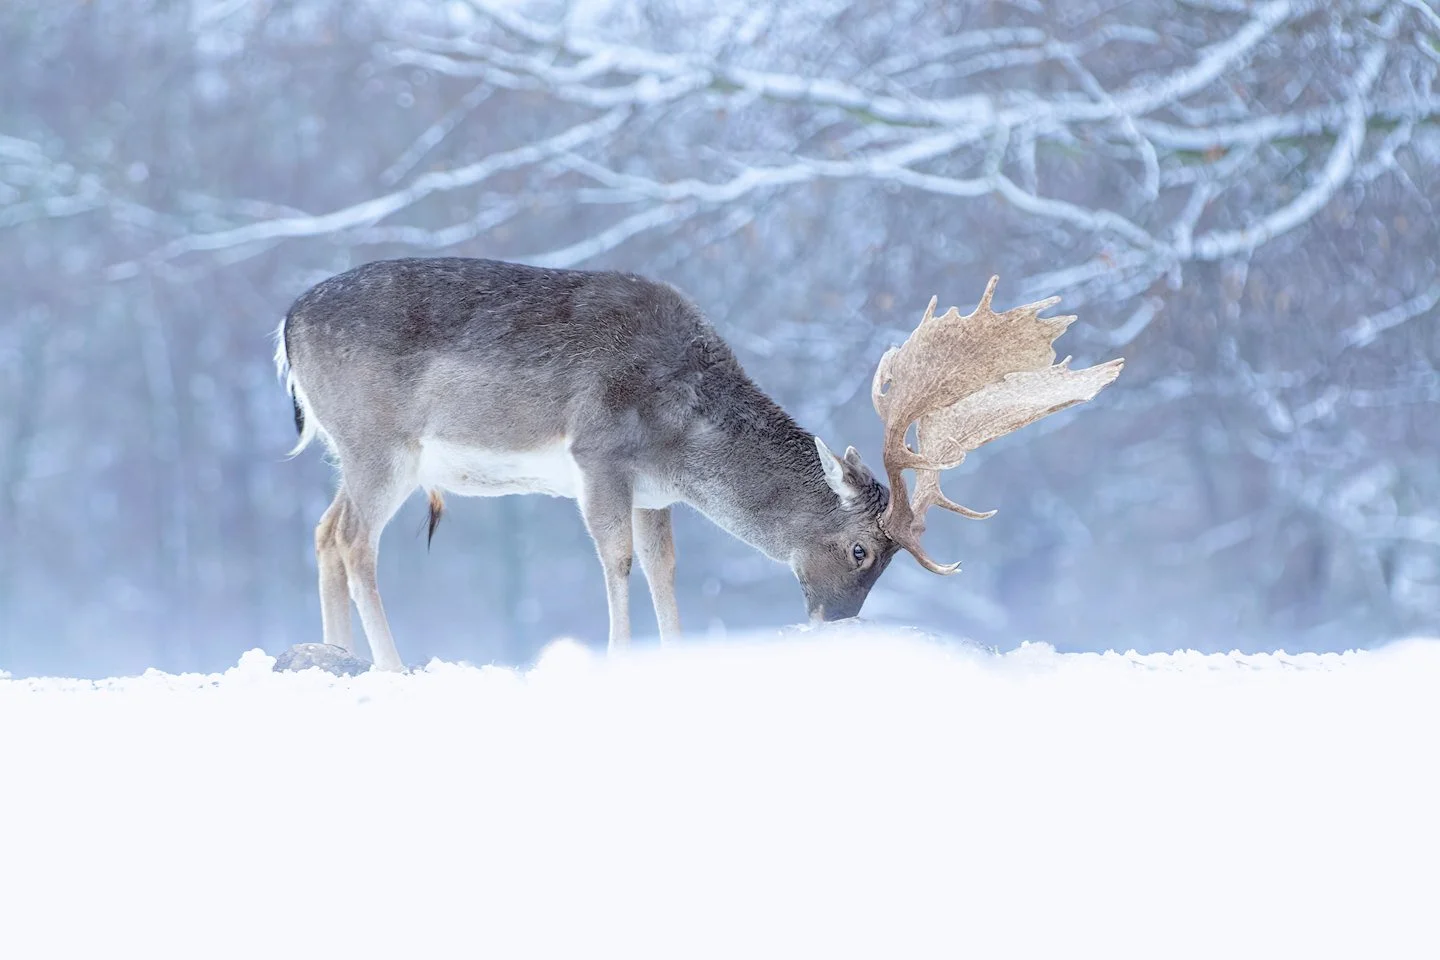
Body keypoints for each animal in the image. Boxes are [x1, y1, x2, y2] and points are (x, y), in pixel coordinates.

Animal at [275, 258, 1123, 671]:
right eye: (861, 550)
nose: (835, 622)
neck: (680, 438)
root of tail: (285, 322)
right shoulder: (598, 455)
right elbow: (616, 561)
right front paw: (620, 656)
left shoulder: (655, 494)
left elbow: (664, 570)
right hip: (380, 441)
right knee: (352, 538)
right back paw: (391, 665)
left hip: (352, 452)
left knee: (320, 530)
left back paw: (335, 653)